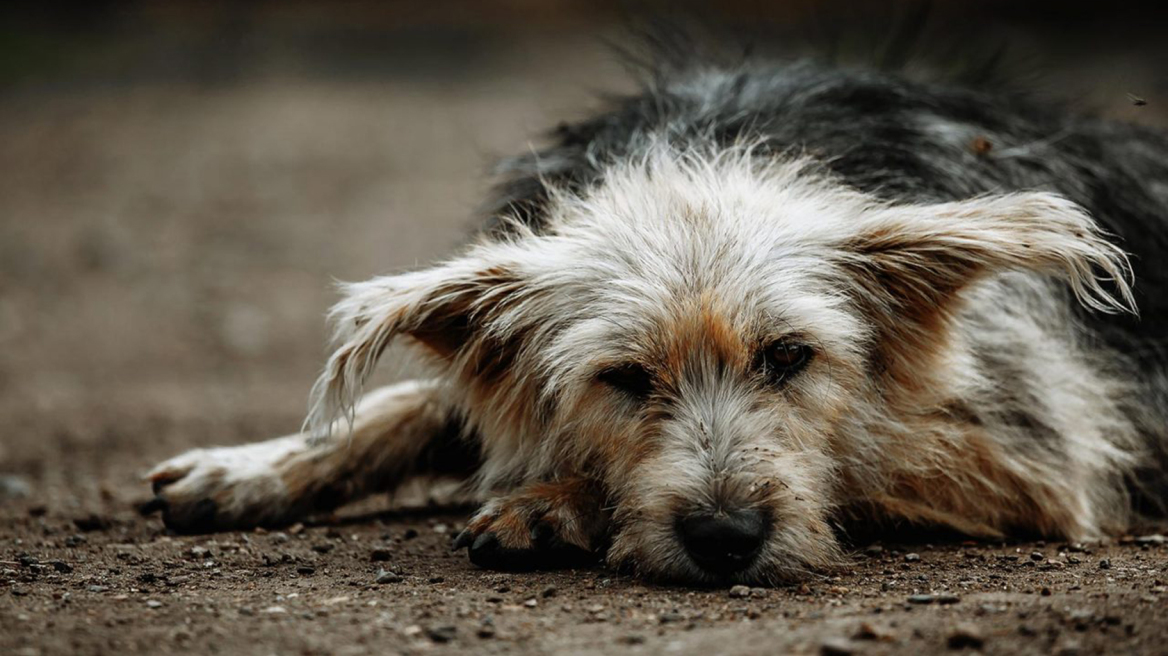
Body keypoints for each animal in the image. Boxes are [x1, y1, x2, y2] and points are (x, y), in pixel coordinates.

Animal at [143, 48, 1168, 583]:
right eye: (625, 378)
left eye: (789, 358)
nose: (725, 538)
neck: (706, 162)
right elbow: (425, 404)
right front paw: (255, 469)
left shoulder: (1037, 461)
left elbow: (862, 457)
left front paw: (552, 501)